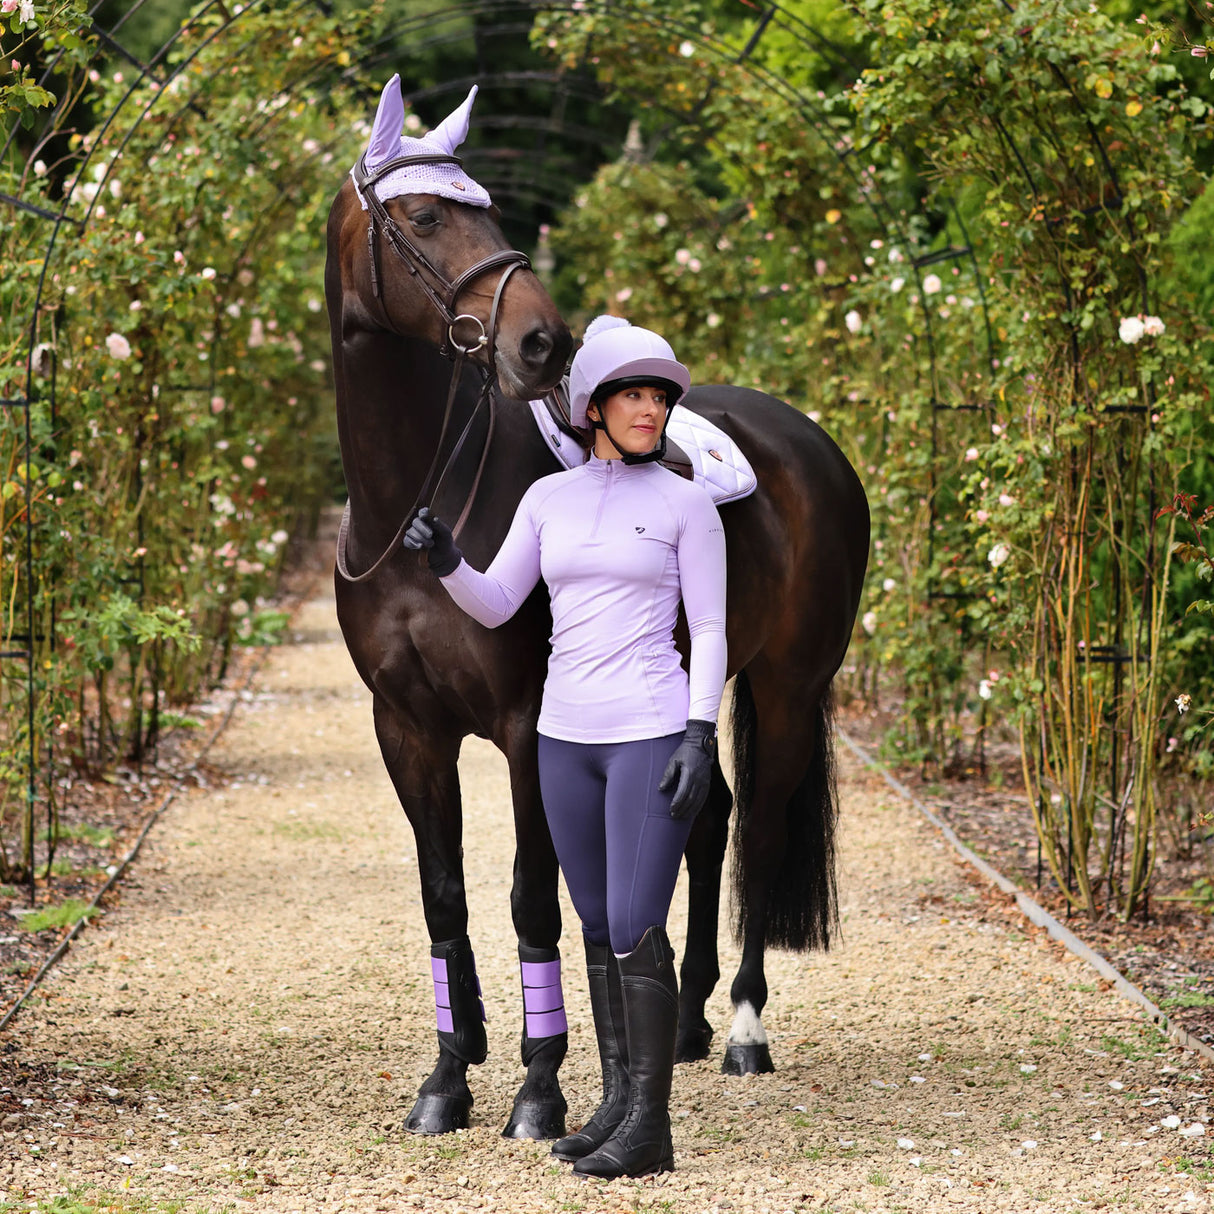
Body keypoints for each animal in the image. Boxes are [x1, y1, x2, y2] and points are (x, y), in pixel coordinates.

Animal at [327, 83, 869, 1136]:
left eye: (491, 208)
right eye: (425, 217)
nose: (544, 341)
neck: (418, 497)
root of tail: (806, 439)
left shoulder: (526, 726)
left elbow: (532, 899)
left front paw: (538, 1092)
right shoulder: (405, 727)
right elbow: (444, 900)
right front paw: (447, 1079)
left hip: (786, 689)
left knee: (758, 833)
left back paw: (744, 1030)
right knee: (707, 816)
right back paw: (689, 1022)